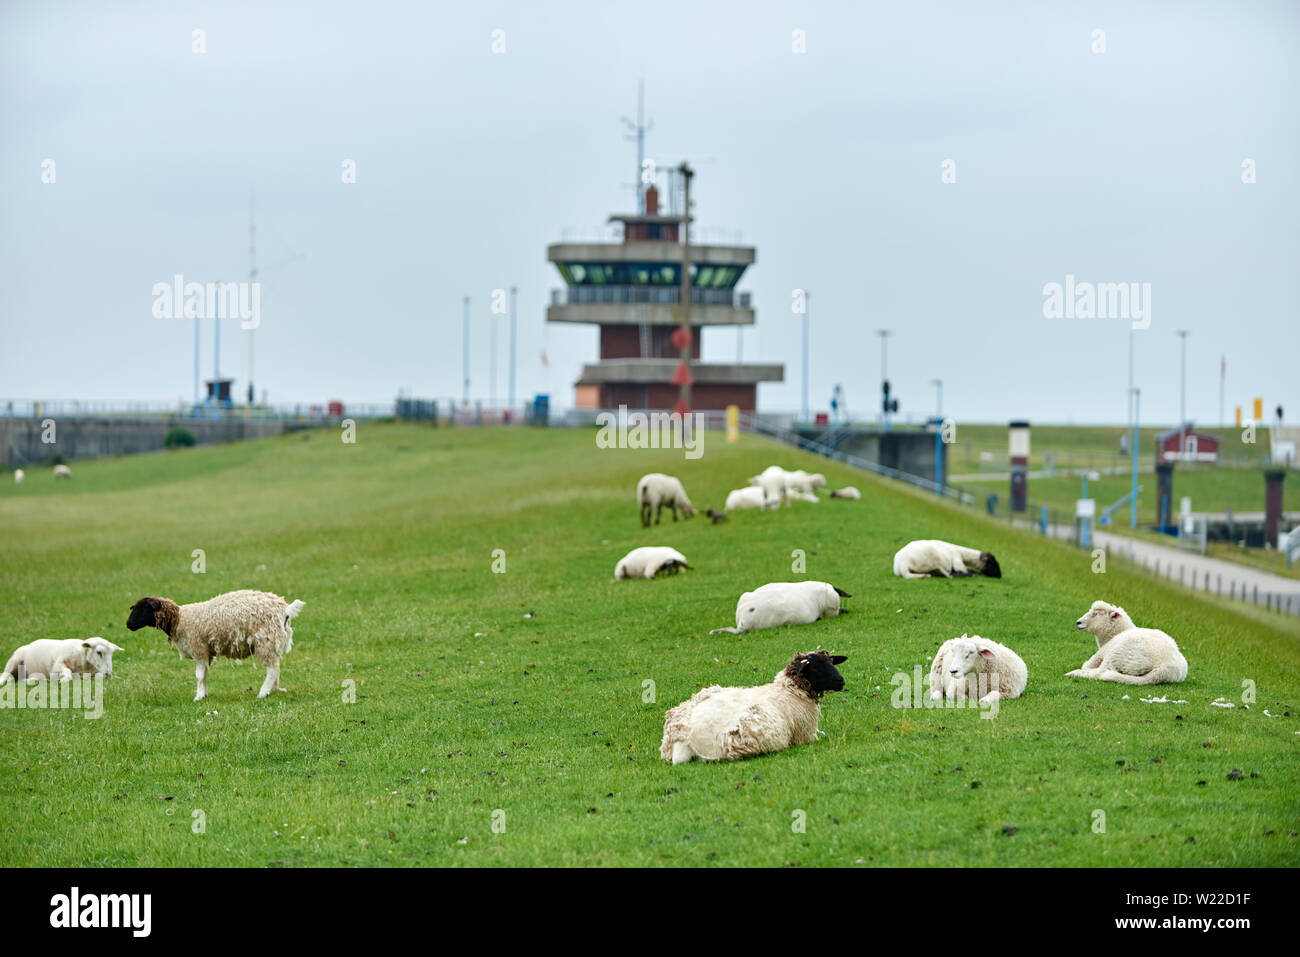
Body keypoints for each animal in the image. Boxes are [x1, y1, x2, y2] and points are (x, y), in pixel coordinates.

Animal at [129, 587, 306, 696]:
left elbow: (199, 675)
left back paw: (263, 693)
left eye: (143, 608)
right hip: (273, 642)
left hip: (266, 641)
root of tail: (285, 610)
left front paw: (198, 696)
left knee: (272, 670)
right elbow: (204, 674)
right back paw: (273, 690)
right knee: (276, 667)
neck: (179, 620)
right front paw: (204, 694)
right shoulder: (206, 652)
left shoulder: (198, 648)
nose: (128, 624)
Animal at [655, 650, 847, 764]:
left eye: (832, 662)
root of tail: (683, 737)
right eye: (816, 668)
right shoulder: (804, 735)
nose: (841, 681)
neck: (791, 689)